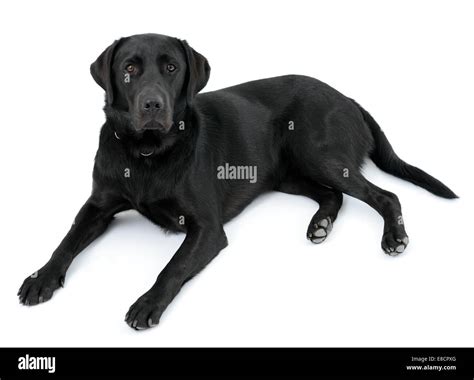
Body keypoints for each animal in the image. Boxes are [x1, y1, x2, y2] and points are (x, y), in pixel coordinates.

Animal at [17, 33, 456, 330]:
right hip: (285, 175)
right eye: (128, 70)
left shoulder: (207, 229)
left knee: (385, 195)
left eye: (172, 68)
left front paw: (147, 303)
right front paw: (41, 278)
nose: (152, 105)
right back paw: (320, 225)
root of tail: (349, 98)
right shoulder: (97, 206)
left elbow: (172, 266)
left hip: (317, 154)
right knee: (333, 197)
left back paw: (394, 237)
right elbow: (66, 242)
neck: (147, 154)